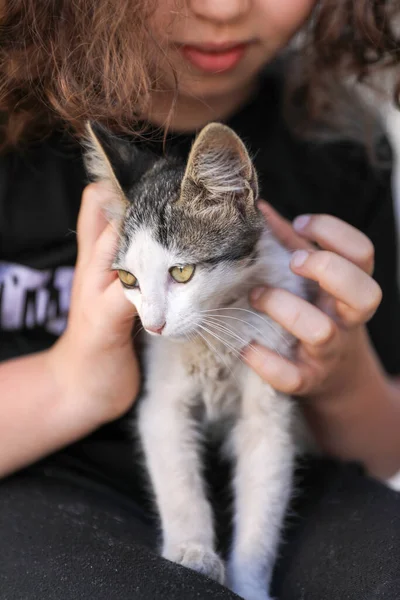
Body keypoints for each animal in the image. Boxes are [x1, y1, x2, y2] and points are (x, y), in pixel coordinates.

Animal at [84, 124, 310, 600]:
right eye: (127, 279)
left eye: (182, 272)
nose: (153, 326)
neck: (214, 329)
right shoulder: (162, 405)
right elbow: (180, 487)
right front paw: (192, 554)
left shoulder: (269, 408)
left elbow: (262, 510)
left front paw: (249, 585)